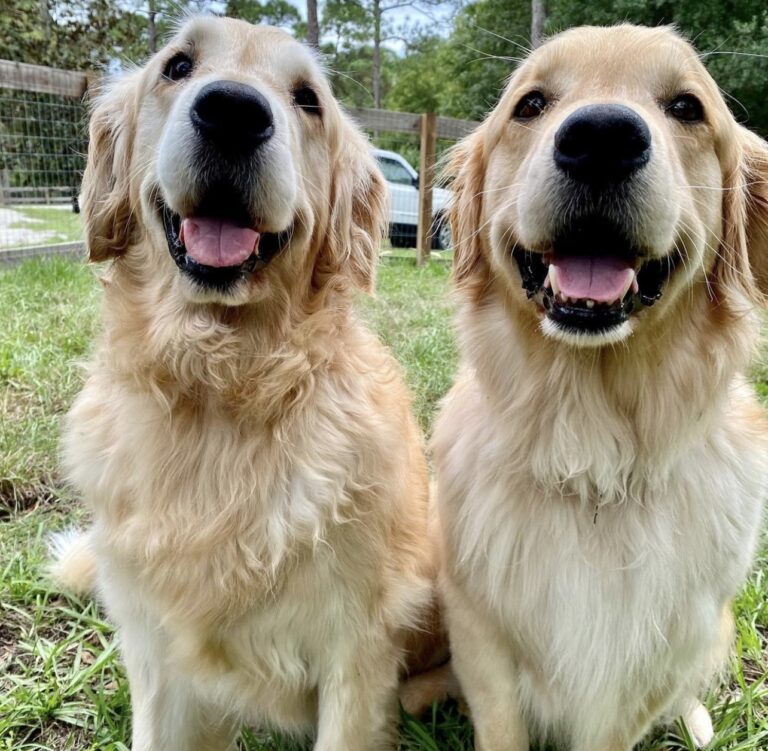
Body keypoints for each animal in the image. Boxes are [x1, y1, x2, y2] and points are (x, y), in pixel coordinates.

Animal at [52, 17, 438, 751]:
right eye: (177, 66)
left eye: (307, 99)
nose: (231, 112)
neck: (222, 388)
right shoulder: (158, 657)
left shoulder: (356, 648)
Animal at [436, 23, 764, 751]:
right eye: (530, 105)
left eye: (687, 108)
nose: (603, 139)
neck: (589, 451)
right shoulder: (479, 633)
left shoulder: (644, 668)